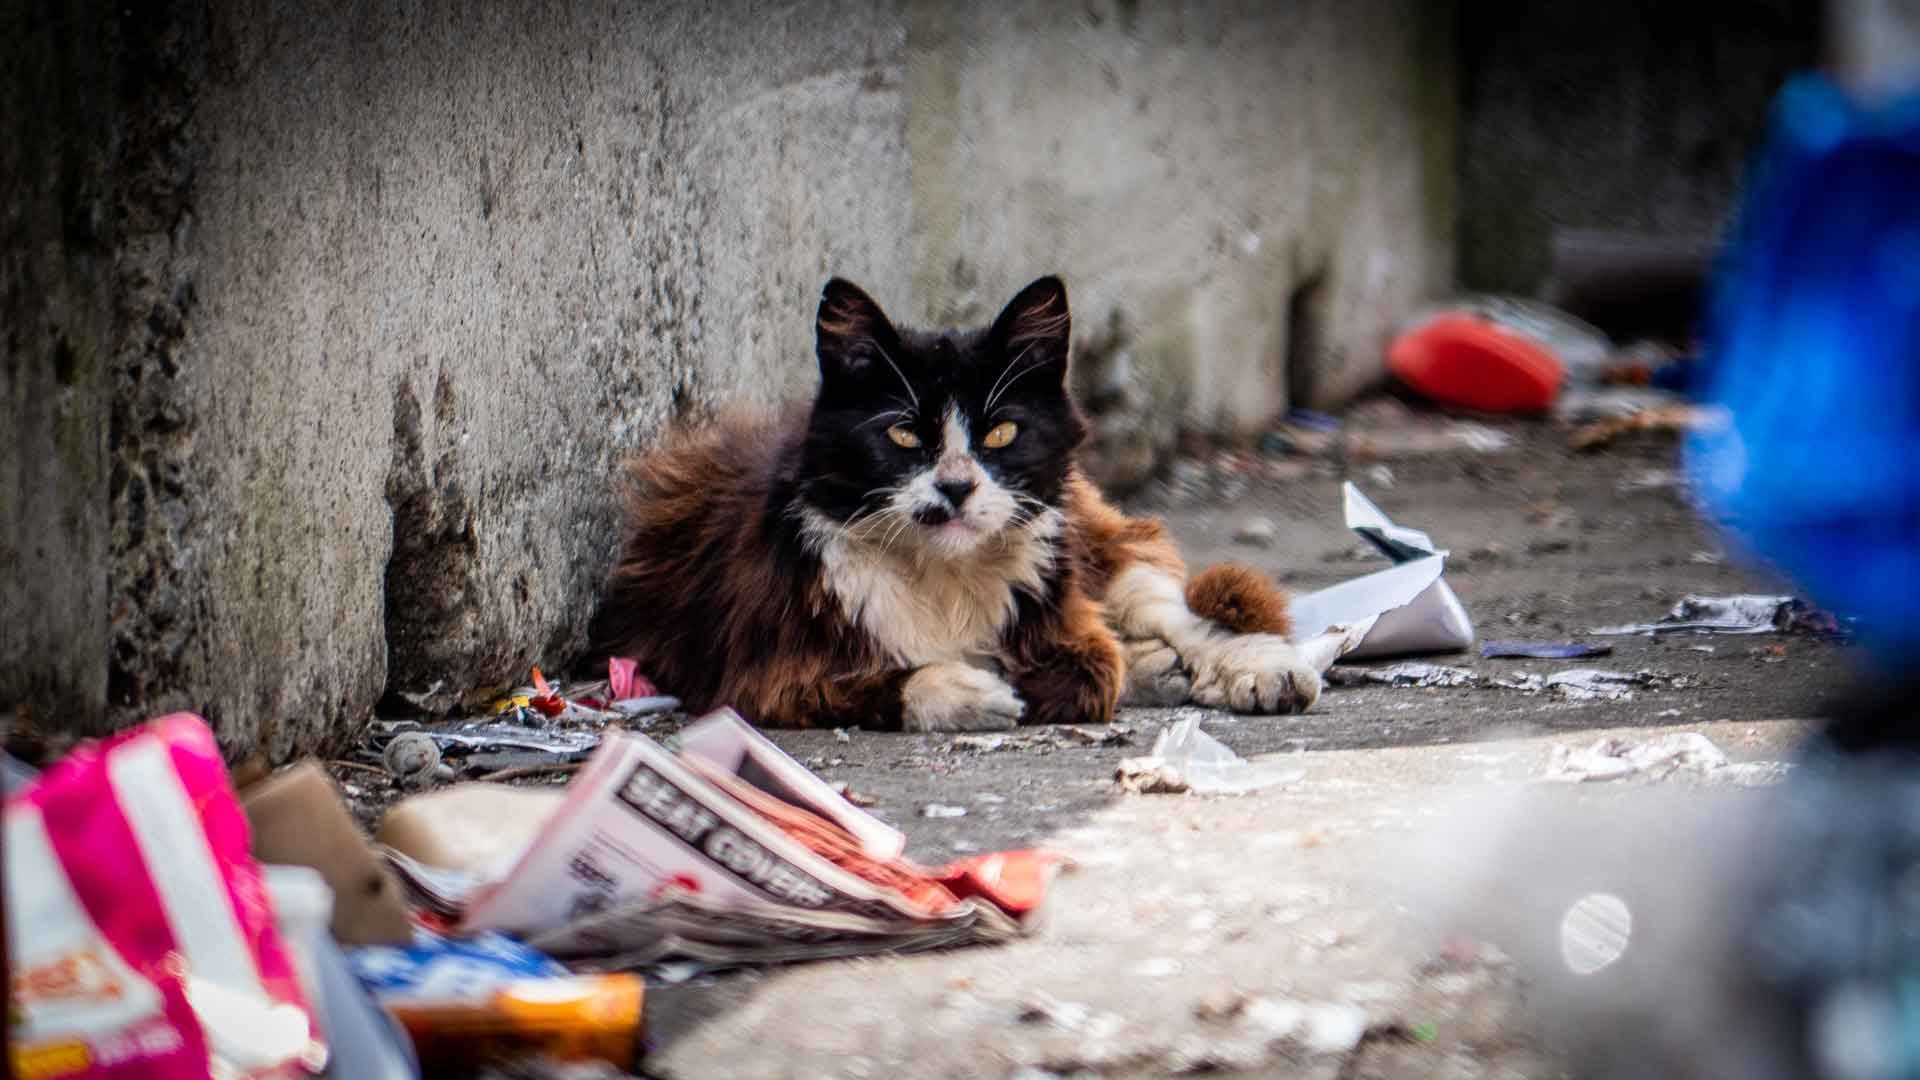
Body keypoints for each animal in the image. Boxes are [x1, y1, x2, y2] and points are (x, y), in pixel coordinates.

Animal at [591, 272, 1328, 726]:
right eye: (902, 433)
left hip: (1088, 532)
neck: (940, 575)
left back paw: (1259, 669)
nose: (955, 485)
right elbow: (889, 680)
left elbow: (1086, 667)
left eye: (1000, 432)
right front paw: (972, 690)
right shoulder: (762, 671)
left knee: (1165, 603)